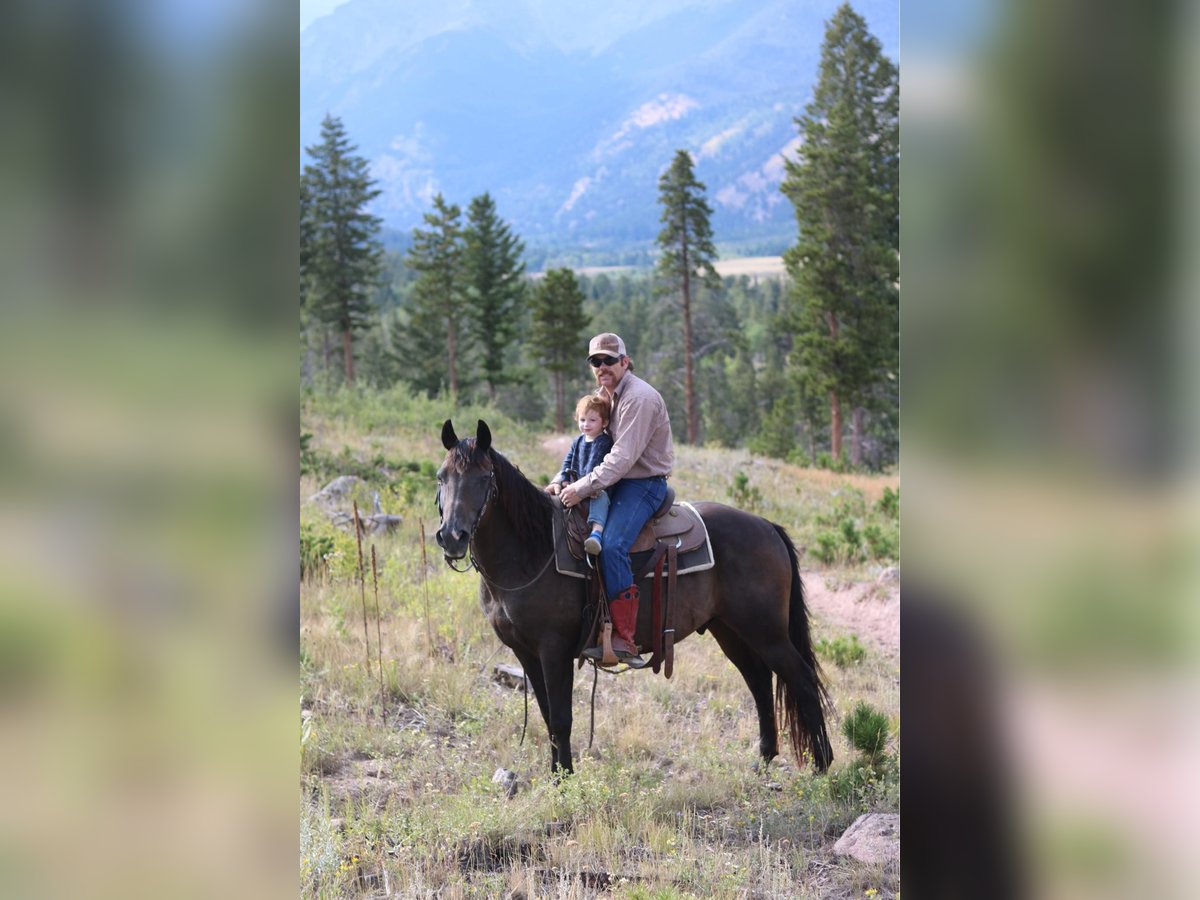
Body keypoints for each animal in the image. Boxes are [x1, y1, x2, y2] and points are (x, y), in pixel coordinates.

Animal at [434, 419, 832, 776]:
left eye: (484, 478)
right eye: (442, 477)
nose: (452, 536)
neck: (532, 551)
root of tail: (768, 526)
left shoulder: (553, 648)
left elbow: (561, 717)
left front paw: (565, 781)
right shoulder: (525, 652)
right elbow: (547, 716)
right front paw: (556, 775)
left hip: (767, 632)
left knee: (801, 678)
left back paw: (823, 765)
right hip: (730, 631)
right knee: (759, 682)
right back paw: (763, 761)